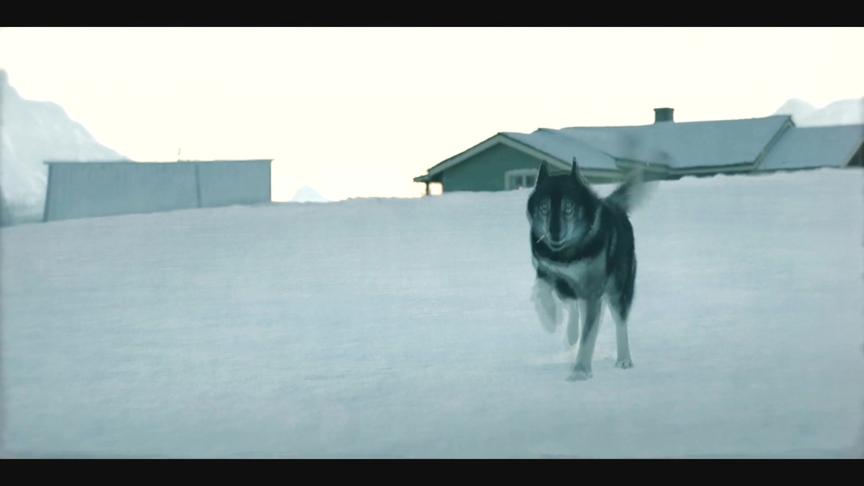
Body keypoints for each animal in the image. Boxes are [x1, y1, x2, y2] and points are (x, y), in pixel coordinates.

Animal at [528, 159, 648, 380]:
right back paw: (571, 333)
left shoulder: (592, 291)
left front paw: (580, 371)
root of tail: (612, 205)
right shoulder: (546, 269)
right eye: (544, 207)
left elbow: (589, 336)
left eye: (568, 207)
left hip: (618, 288)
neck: (567, 255)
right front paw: (550, 318)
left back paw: (624, 359)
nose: (554, 233)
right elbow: (542, 290)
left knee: (619, 322)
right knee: (574, 308)